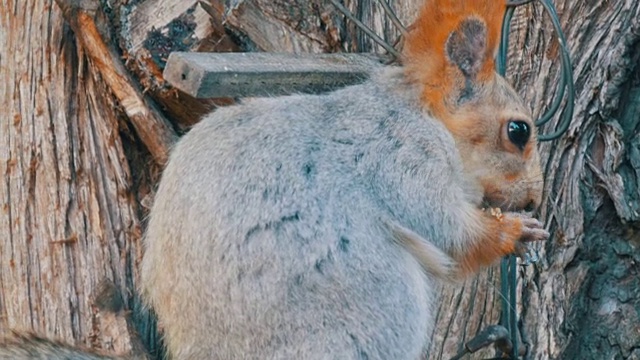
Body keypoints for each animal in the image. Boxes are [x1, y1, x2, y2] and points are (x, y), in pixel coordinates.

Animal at [0, 0, 552, 360]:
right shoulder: (400, 158)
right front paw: (513, 233)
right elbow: (448, 231)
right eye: (518, 131)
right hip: (375, 305)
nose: (533, 199)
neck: (423, 115)